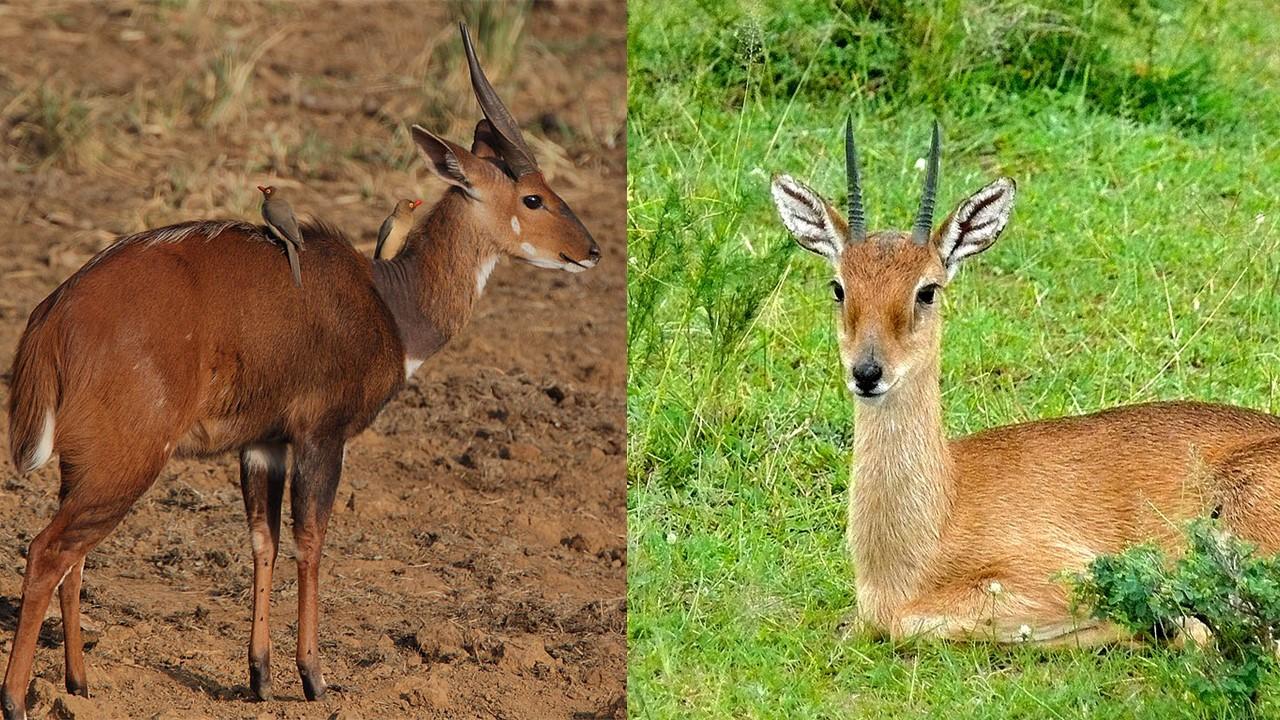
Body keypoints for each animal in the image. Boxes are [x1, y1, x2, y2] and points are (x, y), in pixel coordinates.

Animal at [1, 22, 599, 717]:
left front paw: (259, 676)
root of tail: (52, 318)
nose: (592, 250)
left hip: (86, 465)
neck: (391, 304)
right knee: (47, 551)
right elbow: (311, 540)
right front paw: (313, 677)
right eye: (534, 197)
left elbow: (263, 540)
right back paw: (16, 698)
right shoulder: (322, 432)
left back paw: (80, 684)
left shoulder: (264, 444)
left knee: (74, 558)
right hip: (126, 460)